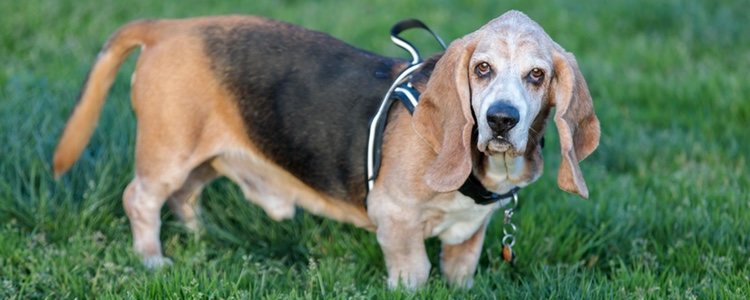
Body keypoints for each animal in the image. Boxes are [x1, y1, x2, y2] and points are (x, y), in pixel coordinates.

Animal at [53, 10, 600, 290]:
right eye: (482, 68)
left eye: (537, 75)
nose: (502, 119)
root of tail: (169, 27)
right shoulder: (395, 220)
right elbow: (415, 274)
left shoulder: (468, 235)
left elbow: (459, 274)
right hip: (169, 153)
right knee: (141, 199)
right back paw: (152, 259)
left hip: (208, 156)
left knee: (185, 196)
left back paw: (201, 236)